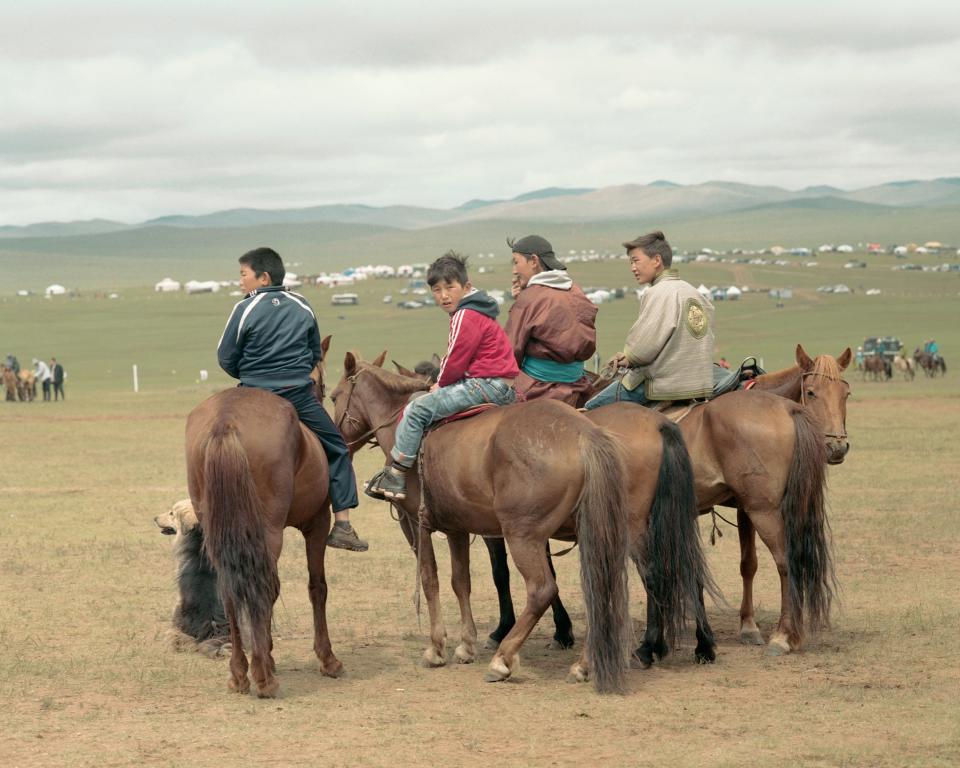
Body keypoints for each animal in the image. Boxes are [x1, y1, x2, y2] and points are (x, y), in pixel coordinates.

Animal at [183, 336, 342, 696]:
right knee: (262, 587)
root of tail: (225, 422)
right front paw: (326, 658)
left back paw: (240, 672)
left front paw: (266, 651)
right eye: (323, 384)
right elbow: (317, 586)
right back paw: (263, 676)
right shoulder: (318, 523)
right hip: (268, 532)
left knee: (230, 591)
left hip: (220, 531)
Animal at [330, 352, 712, 692]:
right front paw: (465, 645)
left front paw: (437, 648)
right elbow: (460, 582)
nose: (338, 441)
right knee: (612, 584)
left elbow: (431, 580)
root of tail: (585, 434)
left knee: (546, 589)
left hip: (526, 534)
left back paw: (505, 660)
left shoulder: (418, 522)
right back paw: (592, 662)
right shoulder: (457, 527)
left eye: (333, 396)